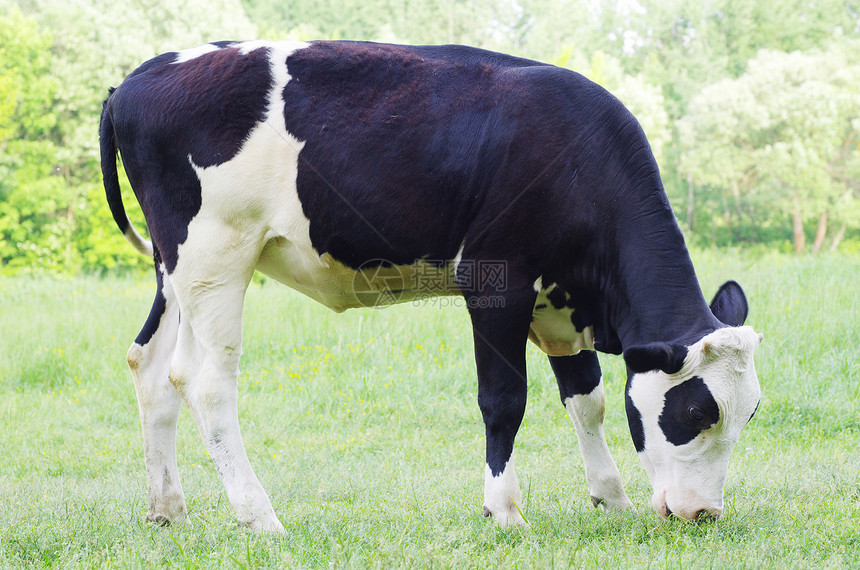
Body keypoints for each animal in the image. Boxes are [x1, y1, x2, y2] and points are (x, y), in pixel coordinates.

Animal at [101, 38, 764, 528]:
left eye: (750, 412)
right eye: (697, 411)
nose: (703, 513)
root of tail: (141, 76)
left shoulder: (557, 302)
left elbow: (588, 398)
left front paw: (612, 498)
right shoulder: (498, 281)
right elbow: (505, 400)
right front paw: (504, 511)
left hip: (174, 269)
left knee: (151, 366)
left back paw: (168, 510)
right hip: (215, 256)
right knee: (206, 383)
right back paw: (259, 516)